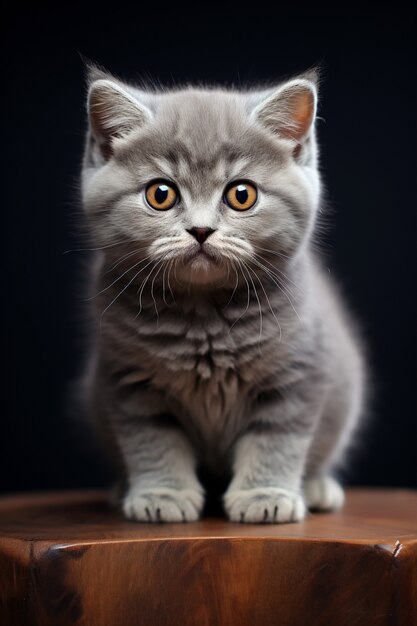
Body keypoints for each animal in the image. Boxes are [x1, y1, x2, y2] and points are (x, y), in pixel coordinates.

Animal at [80, 66, 364, 520]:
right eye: (161, 194)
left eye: (241, 195)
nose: (200, 229)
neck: (203, 317)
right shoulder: (129, 383)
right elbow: (152, 442)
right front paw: (163, 495)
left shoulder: (298, 377)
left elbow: (277, 439)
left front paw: (266, 496)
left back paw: (317, 487)